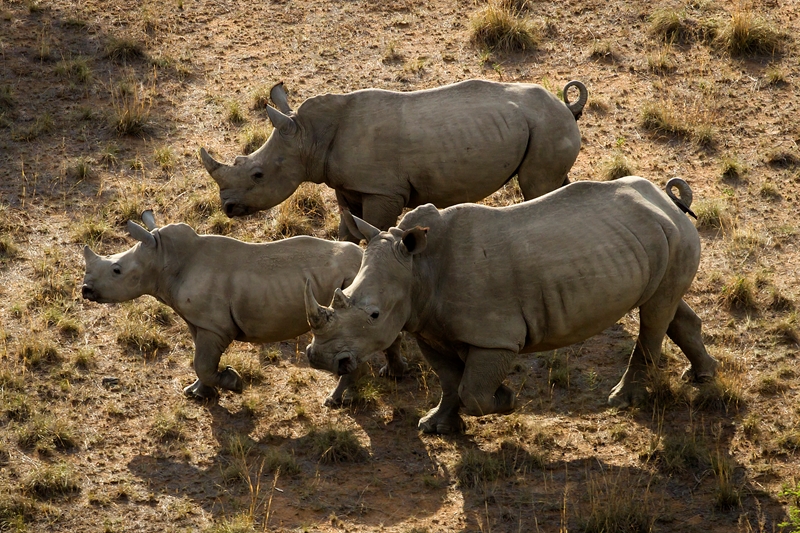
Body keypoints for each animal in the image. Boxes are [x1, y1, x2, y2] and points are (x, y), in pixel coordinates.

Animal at [81, 211, 406, 403]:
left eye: (117, 271)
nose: (85, 290)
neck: (163, 259)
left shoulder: (215, 326)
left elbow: (203, 363)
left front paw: (233, 383)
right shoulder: (200, 321)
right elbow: (201, 362)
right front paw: (197, 394)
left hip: (353, 283)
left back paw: (333, 401)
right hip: (367, 283)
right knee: (383, 325)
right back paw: (393, 373)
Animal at [200, 79, 588, 241]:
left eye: (258, 174)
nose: (227, 207)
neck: (309, 136)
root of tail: (566, 105)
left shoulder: (382, 191)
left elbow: (372, 227)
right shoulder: (349, 185)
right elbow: (347, 229)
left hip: (547, 124)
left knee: (536, 187)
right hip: (542, 126)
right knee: (552, 184)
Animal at [303, 176, 719, 434]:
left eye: (374, 315)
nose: (320, 358)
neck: (418, 269)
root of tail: (669, 201)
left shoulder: (495, 337)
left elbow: (472, 390)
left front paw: (504, 399)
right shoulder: (425, 326)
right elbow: (450, 381)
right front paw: (437, 428)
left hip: (672, 235)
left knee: (654, 314)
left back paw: (622, 401)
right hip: (656, 239)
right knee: (666, 305)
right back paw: (702, 377)